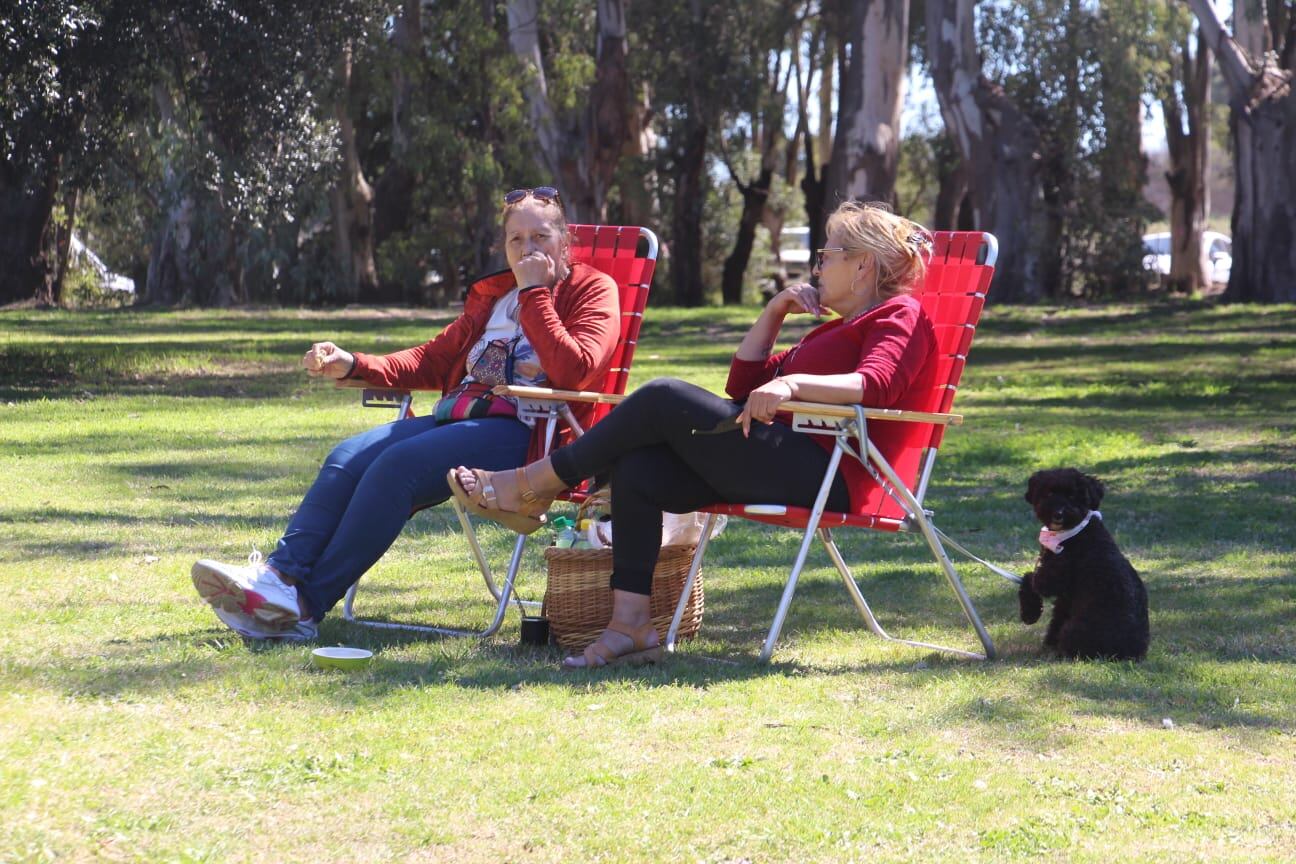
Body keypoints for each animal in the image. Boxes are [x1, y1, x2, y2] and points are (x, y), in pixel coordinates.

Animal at [1016, 468, 1150, 658]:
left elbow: (1029, 578)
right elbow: (1056, 618)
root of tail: (1130, 651)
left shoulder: (1051, 580)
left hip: (1074, 629)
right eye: (1049, 493)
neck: (1074, 533)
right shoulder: (1064, 597)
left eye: (1072, 495)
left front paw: (1029, 613)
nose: (1058, 513)